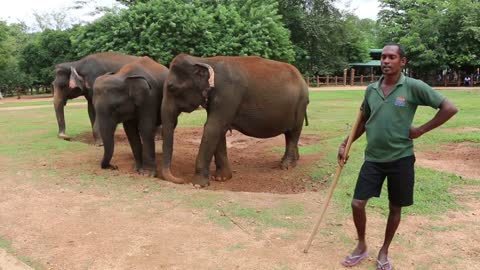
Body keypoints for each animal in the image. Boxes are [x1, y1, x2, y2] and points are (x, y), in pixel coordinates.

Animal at [161, 53, 310, 187]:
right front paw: (221, 178)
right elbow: (218, 130)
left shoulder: (228, 93)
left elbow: (213, 127)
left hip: (300, 104)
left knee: (294, 133)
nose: (181, 180)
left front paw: (197, 184)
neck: (204, 60)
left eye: (172, 87)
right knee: (289, 134)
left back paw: (286, 166)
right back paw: (295, 161)